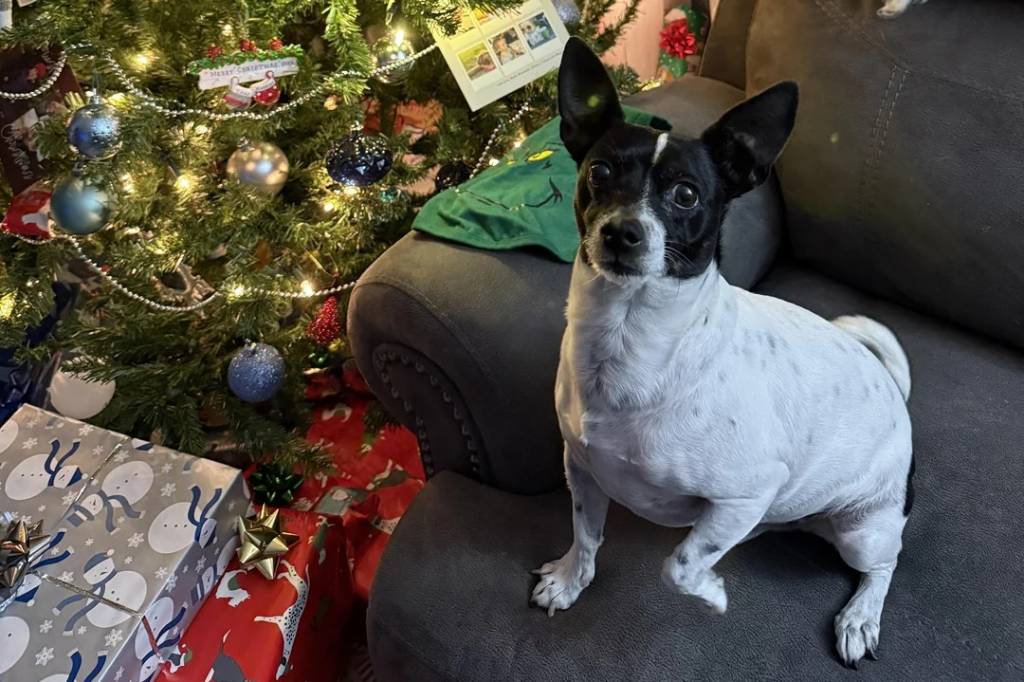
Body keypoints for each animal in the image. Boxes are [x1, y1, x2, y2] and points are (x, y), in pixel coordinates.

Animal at [531, 38, 914, 668]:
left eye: (686, 195)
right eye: (599, 172)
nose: (622, 232)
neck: (627, 338)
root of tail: (896, 391)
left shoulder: (747, 492)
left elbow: (680, 567)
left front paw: (712, 593)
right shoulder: (581, 470)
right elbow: (587, 536)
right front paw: (569, 580)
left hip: (863, 530)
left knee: (884, 564)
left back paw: (861, 617)